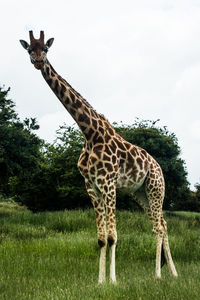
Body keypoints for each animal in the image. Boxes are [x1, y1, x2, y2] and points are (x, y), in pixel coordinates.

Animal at [19, 31, 177, 282]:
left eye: (45, 48)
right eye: (29, 49)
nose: (37, 61)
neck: (89, 133)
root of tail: (159, 167)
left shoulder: (109, 183)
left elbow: (112, 236)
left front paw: (113, 280)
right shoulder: (91, 185)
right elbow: (101, 238)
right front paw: (100, 281)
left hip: (155, 188)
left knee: (159, 227)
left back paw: (159, 275)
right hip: (140, 193)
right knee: (162, 222)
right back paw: (173, 273)